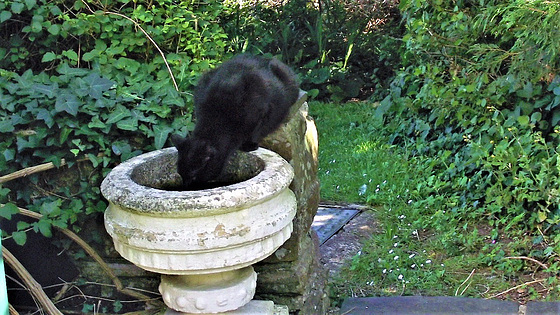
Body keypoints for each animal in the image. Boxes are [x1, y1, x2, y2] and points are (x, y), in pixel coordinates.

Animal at [172, 54, 300, 189]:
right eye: (181, 175)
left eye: (193, 177)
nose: (186, 187)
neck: (219, 116)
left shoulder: (261, 111)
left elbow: (255, 131)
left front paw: (249, 145)